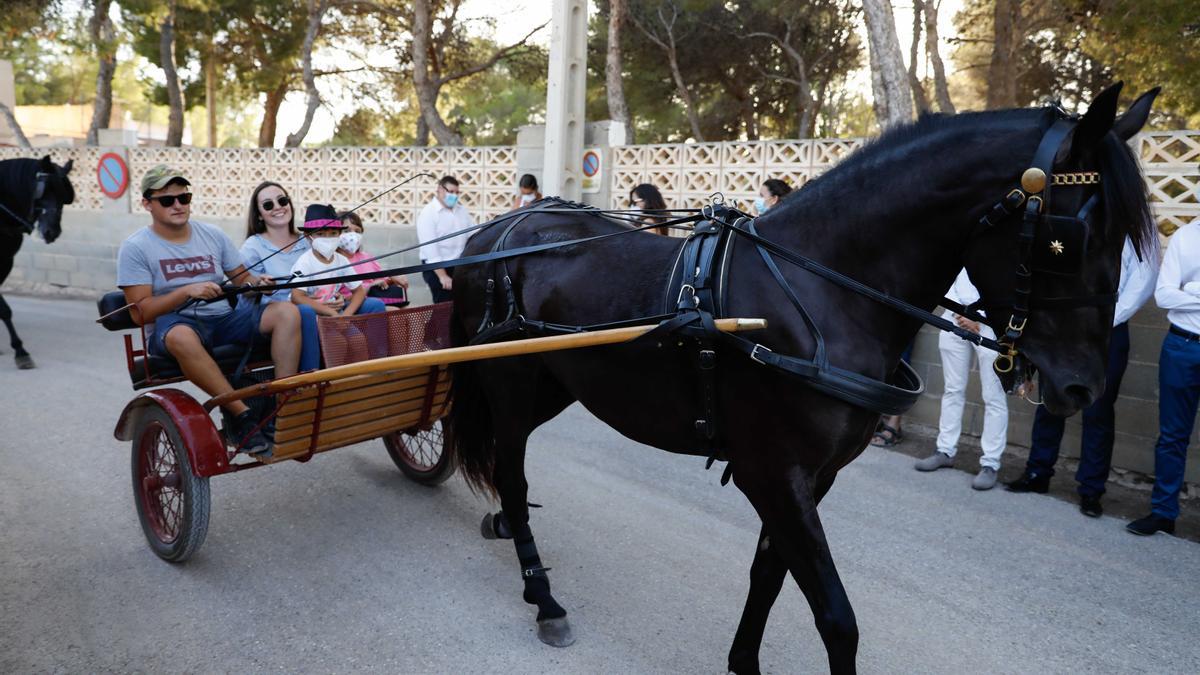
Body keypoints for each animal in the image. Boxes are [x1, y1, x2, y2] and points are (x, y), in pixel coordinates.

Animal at [0, 154, 75, 367]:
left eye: (63, 197)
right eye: (43, 192)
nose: (52, 232)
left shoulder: (5, 262)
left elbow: (4, 310)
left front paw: (19, 350)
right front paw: (20, 350)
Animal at [448, 85, 1152, 672]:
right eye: (1069, 238)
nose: (1084, 387)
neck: (821, 288)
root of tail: (500, 230)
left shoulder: (811, 477)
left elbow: (769, 578)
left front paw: (743, 663)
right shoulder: (774, 473)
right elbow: (837, 618)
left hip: (555, 385)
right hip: (511, 390)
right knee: (512, 476)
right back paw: (543, 595)